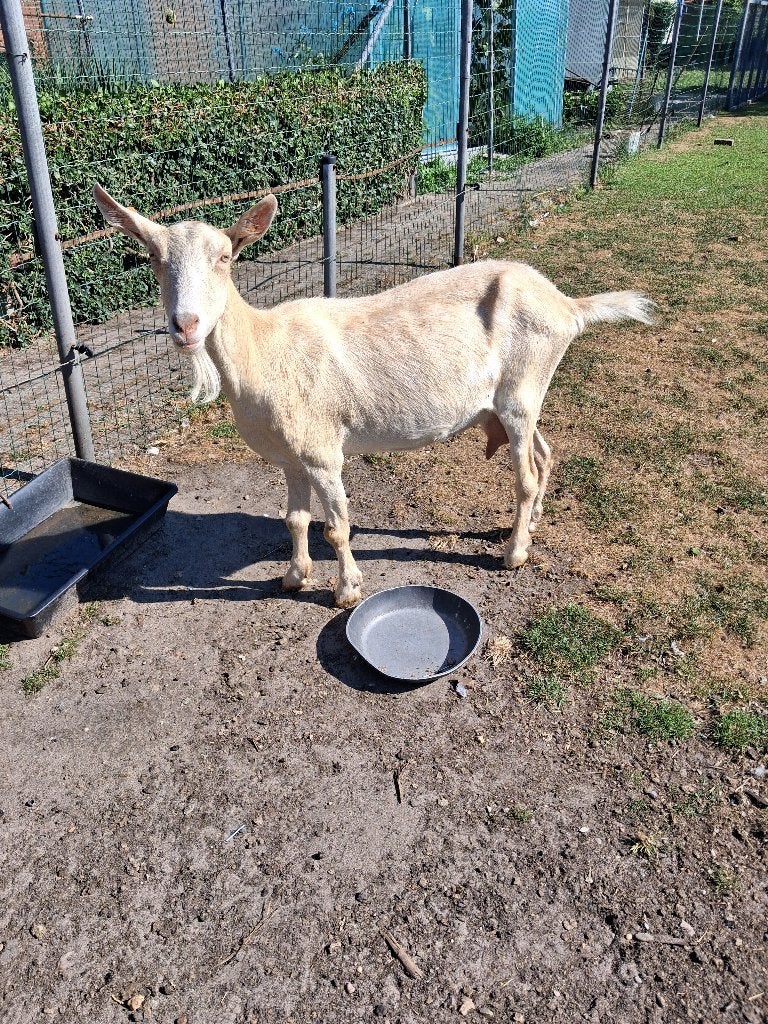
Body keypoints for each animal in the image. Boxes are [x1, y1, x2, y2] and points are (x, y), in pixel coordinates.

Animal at [94, 184, 654, 608]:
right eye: (153, 257)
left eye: (225, 258)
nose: (185, 325)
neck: (265, 350)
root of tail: (567, 306)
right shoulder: (291, 457)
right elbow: (295, 519)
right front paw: (293, 578)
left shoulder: (322, 451)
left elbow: (337, 529)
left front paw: (346, 591)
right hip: (517, 399)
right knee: (544, 453)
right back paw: (533, 523)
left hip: (522, 388)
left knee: (527, 474)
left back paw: (515, 552)